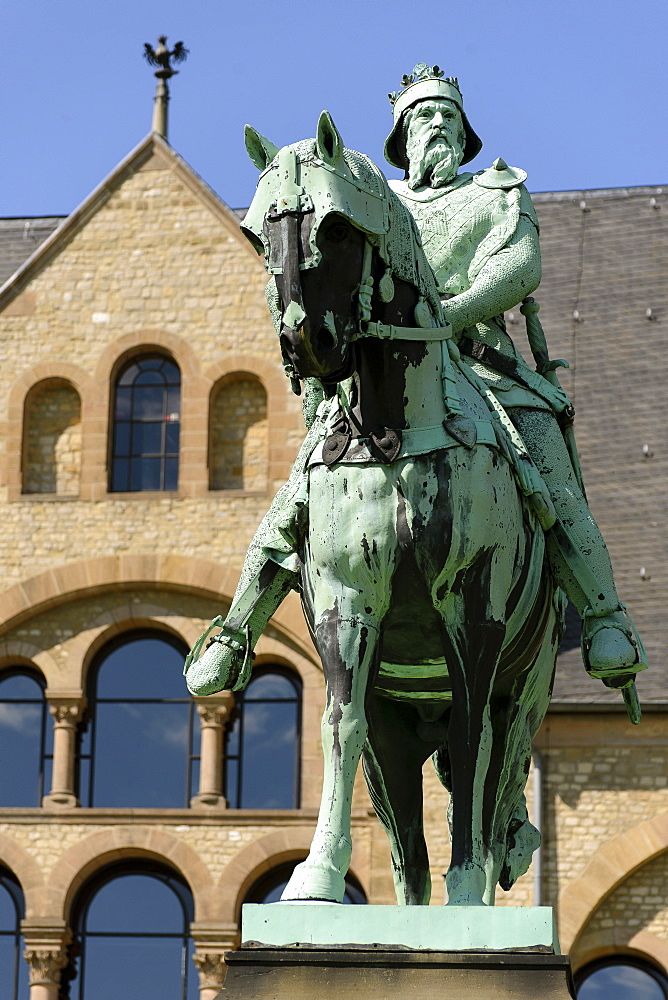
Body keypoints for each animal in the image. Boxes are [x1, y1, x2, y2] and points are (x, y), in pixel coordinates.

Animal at [185, 111, 560, 908]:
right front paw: (317, 874)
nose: (306, 342)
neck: (392, 434)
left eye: (336, 226)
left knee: (493, 777)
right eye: (259, 233)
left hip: (525, 688)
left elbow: (472, 747)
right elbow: (338, 723)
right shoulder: (347, 602)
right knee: (406, 842)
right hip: (400, 733)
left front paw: (468, 886)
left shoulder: (472, 608)